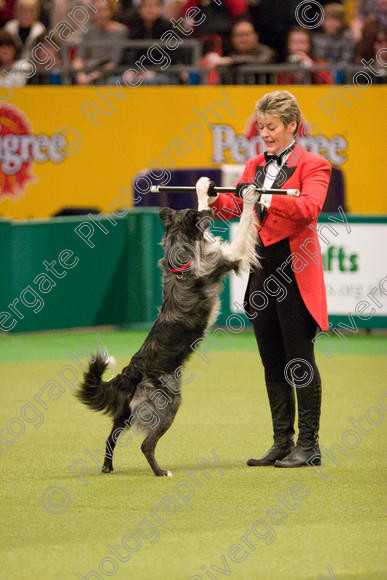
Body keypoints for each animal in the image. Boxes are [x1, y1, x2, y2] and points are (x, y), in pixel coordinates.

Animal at [76, 180, 260, 476]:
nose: (212, 191)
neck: (179, 251)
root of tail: (130, 373)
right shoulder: (232, 256)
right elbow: (243, 223)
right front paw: (243, 195)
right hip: (169, 404)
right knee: (146, 445)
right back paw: (160, 471)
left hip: (125, 414)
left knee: (110, 438)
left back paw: (108, 467)